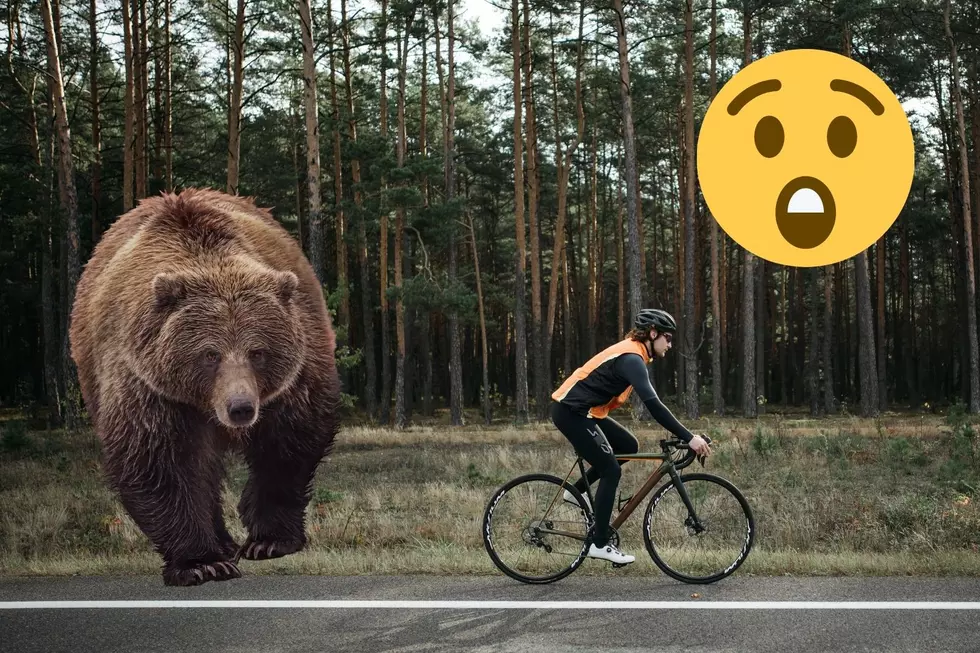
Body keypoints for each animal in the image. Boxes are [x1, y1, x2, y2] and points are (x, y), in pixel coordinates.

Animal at [70, 187, 344, 584]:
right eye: (210, 354)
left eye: (258, 351)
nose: (240, 407)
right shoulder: (149, 384)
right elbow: (159, 462)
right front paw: (203, 562)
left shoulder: (295, 376)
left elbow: (289, 445)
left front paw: (268, 541)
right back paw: (222, 543)